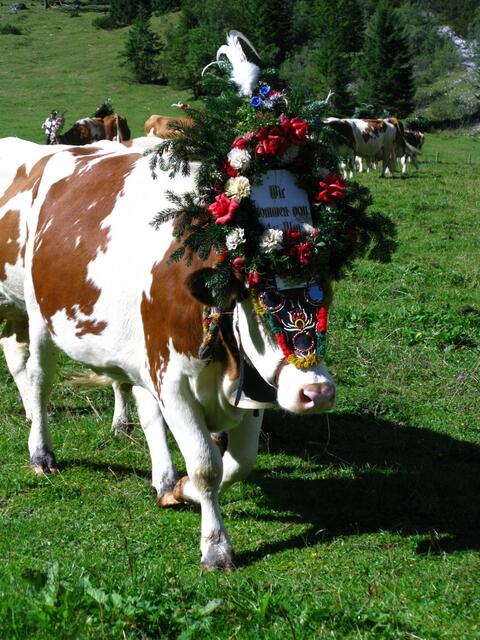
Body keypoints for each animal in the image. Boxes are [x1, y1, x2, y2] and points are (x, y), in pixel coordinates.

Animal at [13, 140, 335, 570]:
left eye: (324, 295)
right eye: (261, 299)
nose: (316, 392)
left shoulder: (250, 389)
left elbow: (239, 462)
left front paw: (182, 489)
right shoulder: (175, 385)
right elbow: (205, 466)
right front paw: (215, 546)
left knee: (146, 411)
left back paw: (164, 480)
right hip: (39, 318)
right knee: (39, 383)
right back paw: (41, 453)